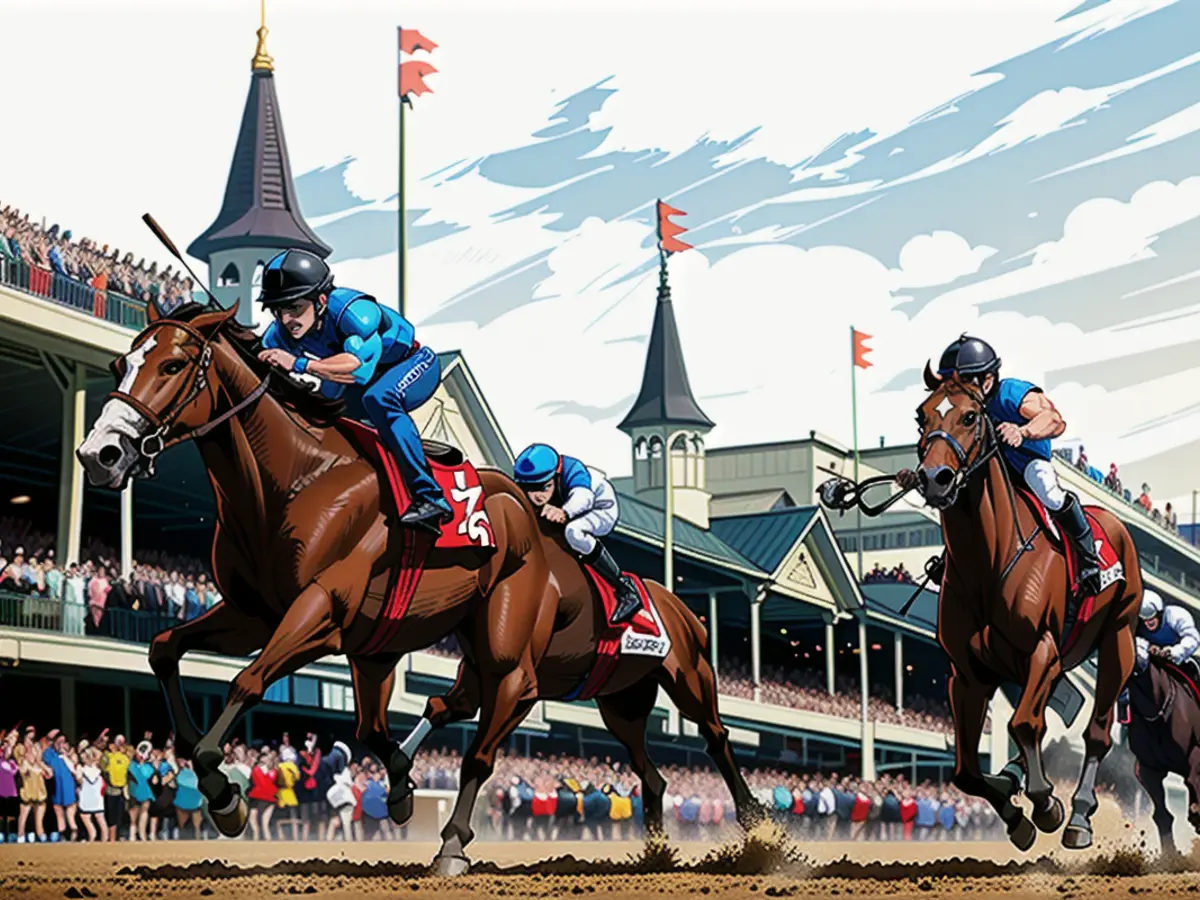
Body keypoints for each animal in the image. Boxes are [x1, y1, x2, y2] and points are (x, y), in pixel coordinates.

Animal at [77, 303, 758, 873]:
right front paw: (386, 787)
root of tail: (679, 606)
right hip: (614, 699)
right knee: (647, 772)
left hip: (629, 670)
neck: (296, 480)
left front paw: (222, 792)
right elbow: (165, 648)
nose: (99, 454)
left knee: (706, 737)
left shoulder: (320, 612)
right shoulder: (260, 613)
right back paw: (653, 851)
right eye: (119, 364)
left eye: (171, 364)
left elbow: (248, 680)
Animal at [907, 367, 1142, 854]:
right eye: (921, 416)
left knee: (1096, 732)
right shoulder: (968, 673)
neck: (988, 561)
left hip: (1118, 639)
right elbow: (967, 769)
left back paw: (1079, 817)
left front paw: (1047, 804)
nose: (935, 478)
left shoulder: (1041, 649)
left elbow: (1025, 723)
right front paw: (1016, 815)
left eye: (970, 415)